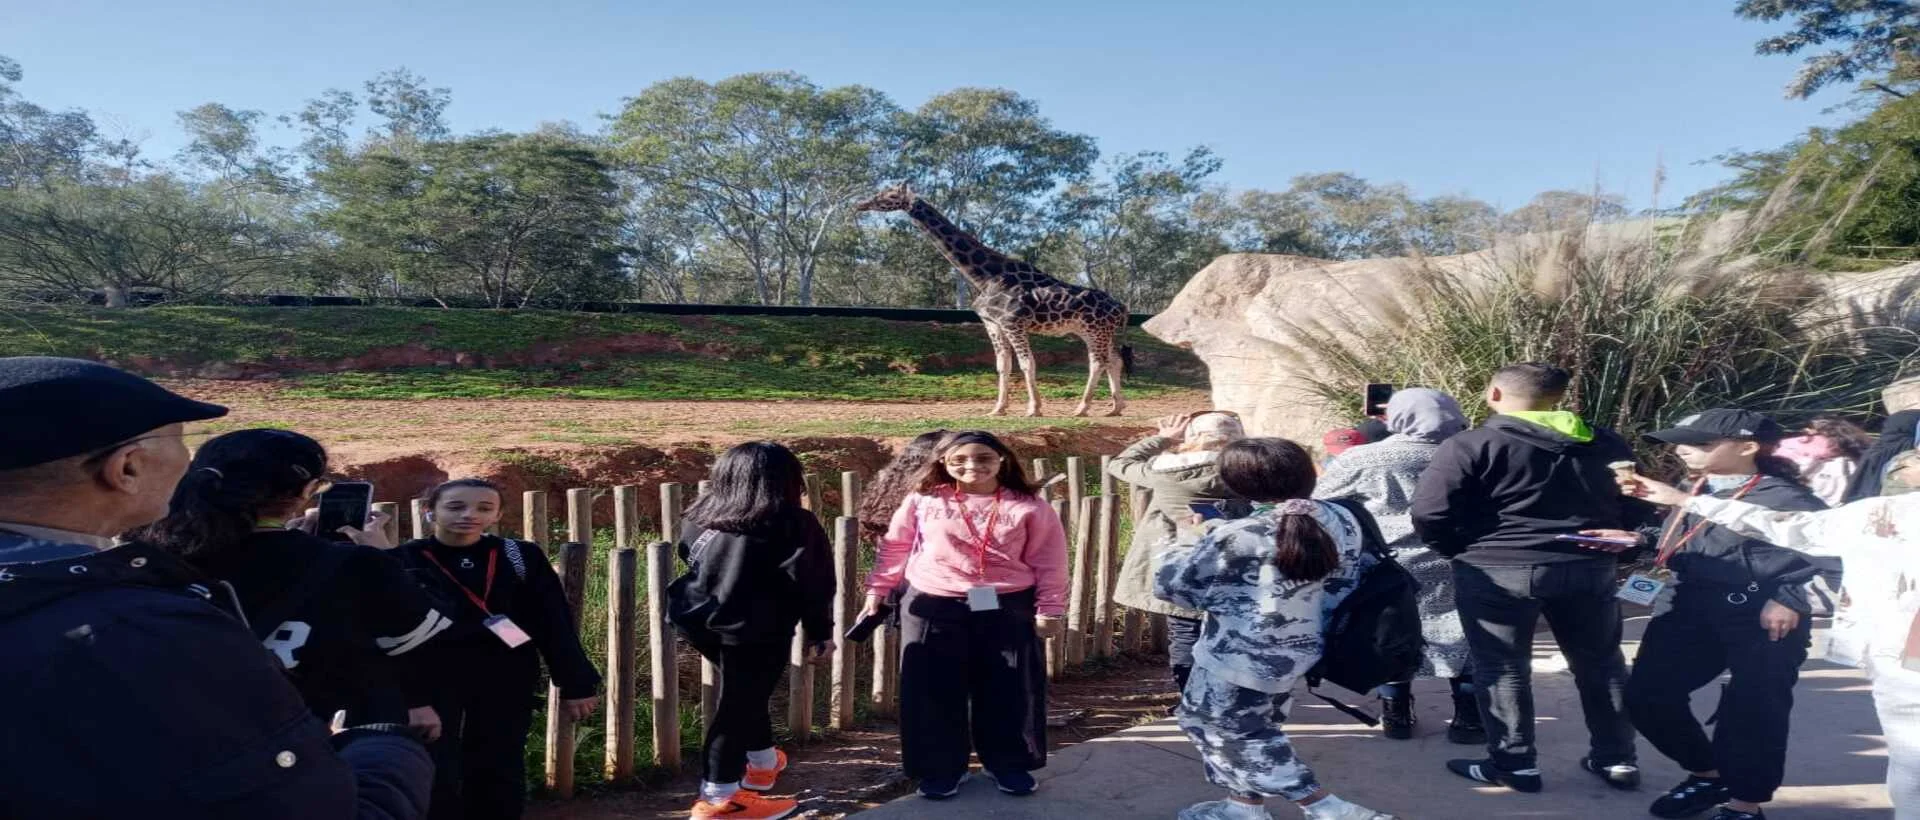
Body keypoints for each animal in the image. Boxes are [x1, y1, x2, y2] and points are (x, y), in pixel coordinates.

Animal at [856, 185, 1121, 416]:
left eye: (889, 195)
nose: (861, 204)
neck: (985, 277)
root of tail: (1122, 308)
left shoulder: (1013, 323)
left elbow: (1027, 363)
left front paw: (1034, 409)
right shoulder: (994, 324)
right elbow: (1003, 366)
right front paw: (998, 409)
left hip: (1095, 330)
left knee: (1097, 362)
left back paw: (1082, 408)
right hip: (1096, 332)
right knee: (1114, 361)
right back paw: (1116, 408)